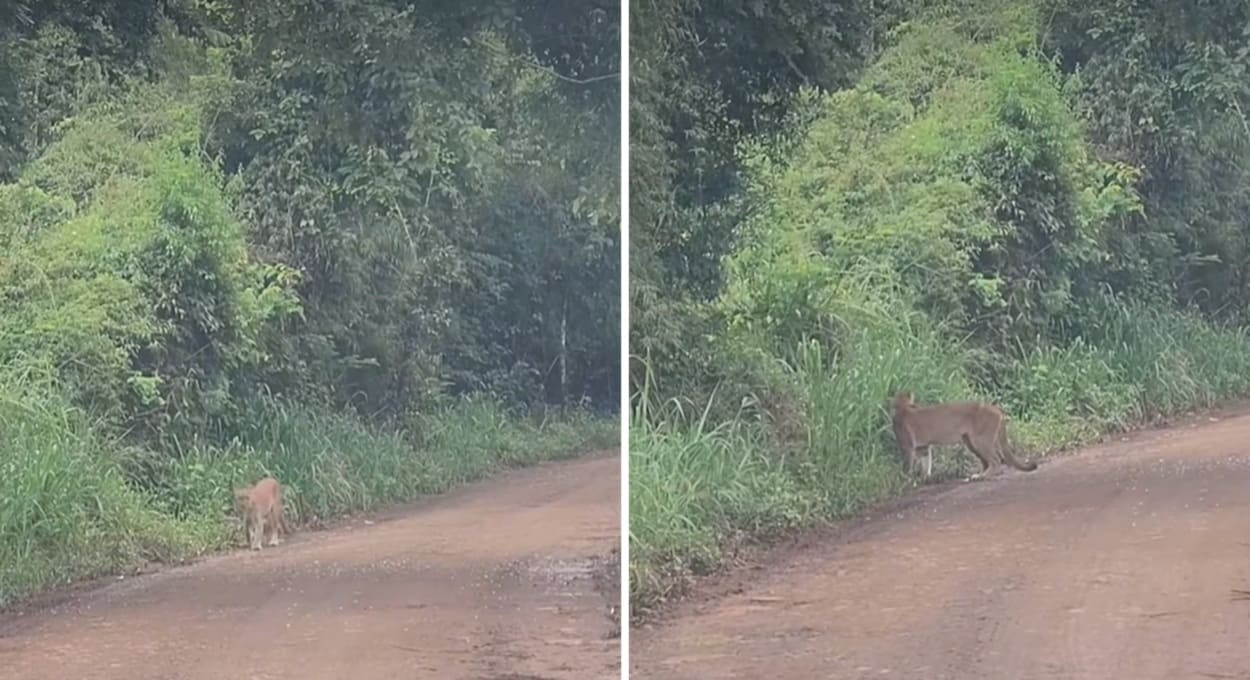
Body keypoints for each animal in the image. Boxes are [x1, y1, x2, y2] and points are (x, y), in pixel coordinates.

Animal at [895, 390, 1040, 480]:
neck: (903, 407)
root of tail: (997, 409)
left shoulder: (908, 447)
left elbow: (907, 465)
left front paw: (907, 479)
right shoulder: (923, 447)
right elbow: (926, 463)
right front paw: (925, 478)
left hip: (980, 440)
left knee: (996, 459)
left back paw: (983, 476)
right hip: (970, 442)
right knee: (988, 461)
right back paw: (980, 474)